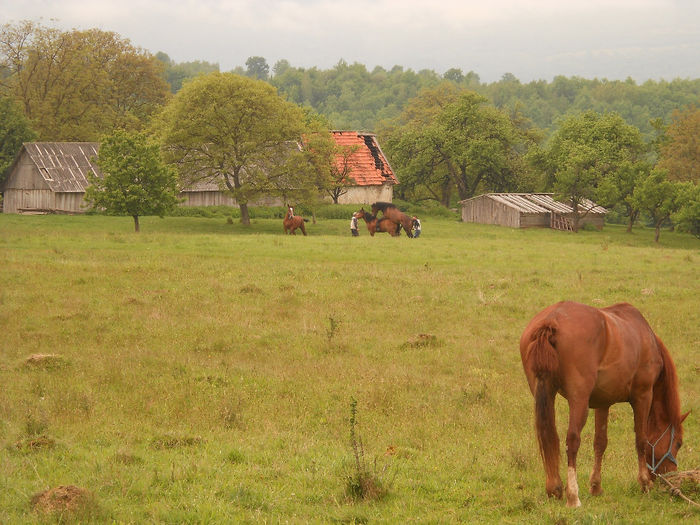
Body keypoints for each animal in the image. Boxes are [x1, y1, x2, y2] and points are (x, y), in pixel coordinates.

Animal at [520, 302, 688, 508]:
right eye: (678, 443)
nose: (671, 478)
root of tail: (552, 320)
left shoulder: (603, 403)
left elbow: (600, 442)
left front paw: (596, 486)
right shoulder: (643, 396)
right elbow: (641, 439)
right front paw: (644, 483)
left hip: (544, 395)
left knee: (548, 437)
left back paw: (554, 488)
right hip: (578, 400)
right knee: (572, 440)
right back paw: (573, 496)